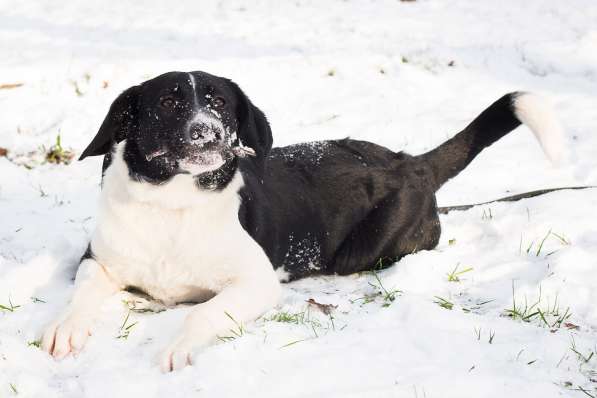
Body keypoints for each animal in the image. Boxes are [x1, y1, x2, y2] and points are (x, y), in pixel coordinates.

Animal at [40, 70, 560, 372]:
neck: (174, 207)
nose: (208, 132)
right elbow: (81, 296)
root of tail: (412, 162)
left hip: (366, 251)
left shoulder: (255, 283)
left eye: (220, 102)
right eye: (168, 103)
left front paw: (178, 347)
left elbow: (203, 312)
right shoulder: (97, 261)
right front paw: (66, 328)